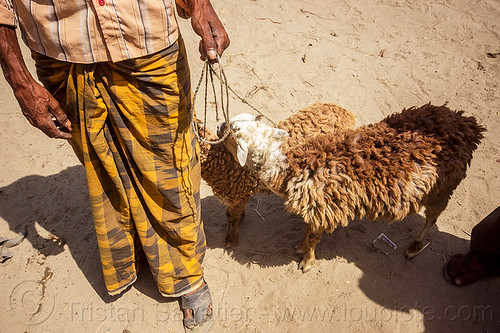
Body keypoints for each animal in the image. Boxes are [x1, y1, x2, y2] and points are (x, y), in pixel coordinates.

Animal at [195, 103, 356, 246]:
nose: (218, 126)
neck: (220, 157)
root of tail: (346, 112)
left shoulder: (236, 194)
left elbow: (231, 217)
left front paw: (230, 240)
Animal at [224, 104, 484, 272]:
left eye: (232, 133)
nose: (219, 125)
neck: (293, 167)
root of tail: (468, 123)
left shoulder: (322, 207)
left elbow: (313, 236)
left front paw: (307, 261)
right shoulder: (316, 207)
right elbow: (308, 231)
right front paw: (300, 247)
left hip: (444, 186)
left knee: (431, 218)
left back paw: (414, 247)